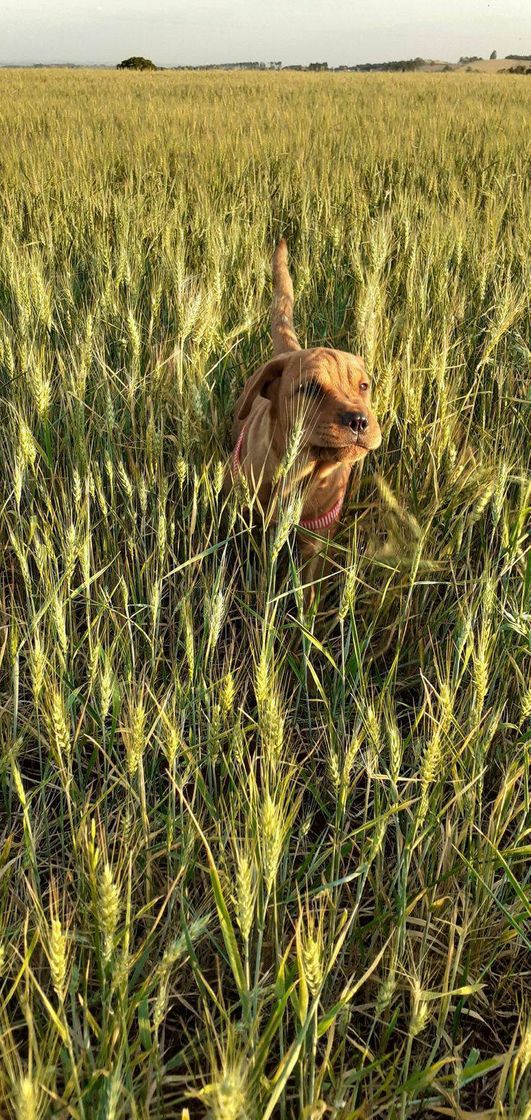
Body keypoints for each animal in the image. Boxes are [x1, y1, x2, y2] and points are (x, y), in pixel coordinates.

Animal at [229, 239, 380, 595]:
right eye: (310, 388)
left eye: (363, 385)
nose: (359, 421)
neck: (301, 468)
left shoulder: (316, 546)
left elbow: (308, 594)